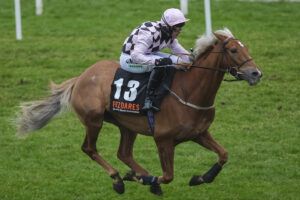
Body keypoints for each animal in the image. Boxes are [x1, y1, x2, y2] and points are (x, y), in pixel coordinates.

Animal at [16, 28, 262, 195]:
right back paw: (118, 178)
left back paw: (137, 174)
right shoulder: (163, 139)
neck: (188, 91)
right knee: (89, 148)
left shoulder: (199, 133)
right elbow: (168, 176)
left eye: (246, 47)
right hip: (94, 120)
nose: (256, 73)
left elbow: (223, 154)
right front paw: (150, 182)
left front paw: (199, 178)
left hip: (127, 125)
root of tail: (81, 77)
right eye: (233, 50)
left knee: (124, 153)